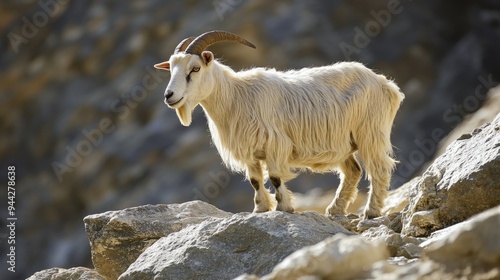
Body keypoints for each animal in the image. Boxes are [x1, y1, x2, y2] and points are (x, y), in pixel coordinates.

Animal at [156, 30, 406, 219]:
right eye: (171, 69)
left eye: (195, 68)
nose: (169, 96)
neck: (236, 96)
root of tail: (386, 84)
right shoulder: (250, 151)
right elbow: (255, 180)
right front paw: (260, 209)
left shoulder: (274, 143)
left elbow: (275, 177)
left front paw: (285, 207)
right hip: (345, 142)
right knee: (353, 172)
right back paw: (335, 209)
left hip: (370, 132)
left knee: (379, 169)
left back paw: (371, 212)